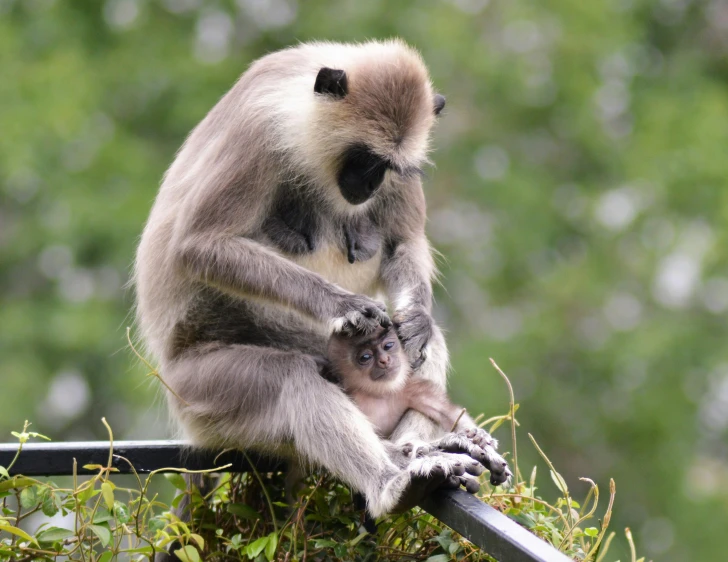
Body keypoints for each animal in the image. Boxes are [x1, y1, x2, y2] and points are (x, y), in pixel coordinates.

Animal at [135, 40, 512, 520]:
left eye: (387, 167)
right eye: (363, 158)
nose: (369, 185)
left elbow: (402, 245)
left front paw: (418, 320)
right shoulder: (258, 131)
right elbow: (197, 245)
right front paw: (340, 304)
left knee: (424, 349)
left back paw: (418, 449)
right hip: (198, 394)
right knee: (291, 375)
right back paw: (392, 482)